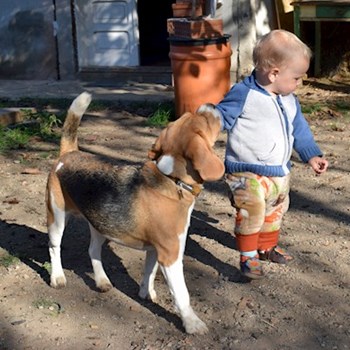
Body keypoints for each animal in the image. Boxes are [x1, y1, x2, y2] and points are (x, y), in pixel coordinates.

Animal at [46, 92, 224, 334]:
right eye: (204, 119)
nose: (211, 104)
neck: (172, 180)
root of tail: (69, 153)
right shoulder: (171, 254)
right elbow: (182, 293)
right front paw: (191, 322)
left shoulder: (156, 250)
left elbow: (149, 272)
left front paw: (146, 293)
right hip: (56, 217)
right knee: (54, 248)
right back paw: (57, 277)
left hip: (100, 224)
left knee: (93, 250)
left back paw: (101, 281)